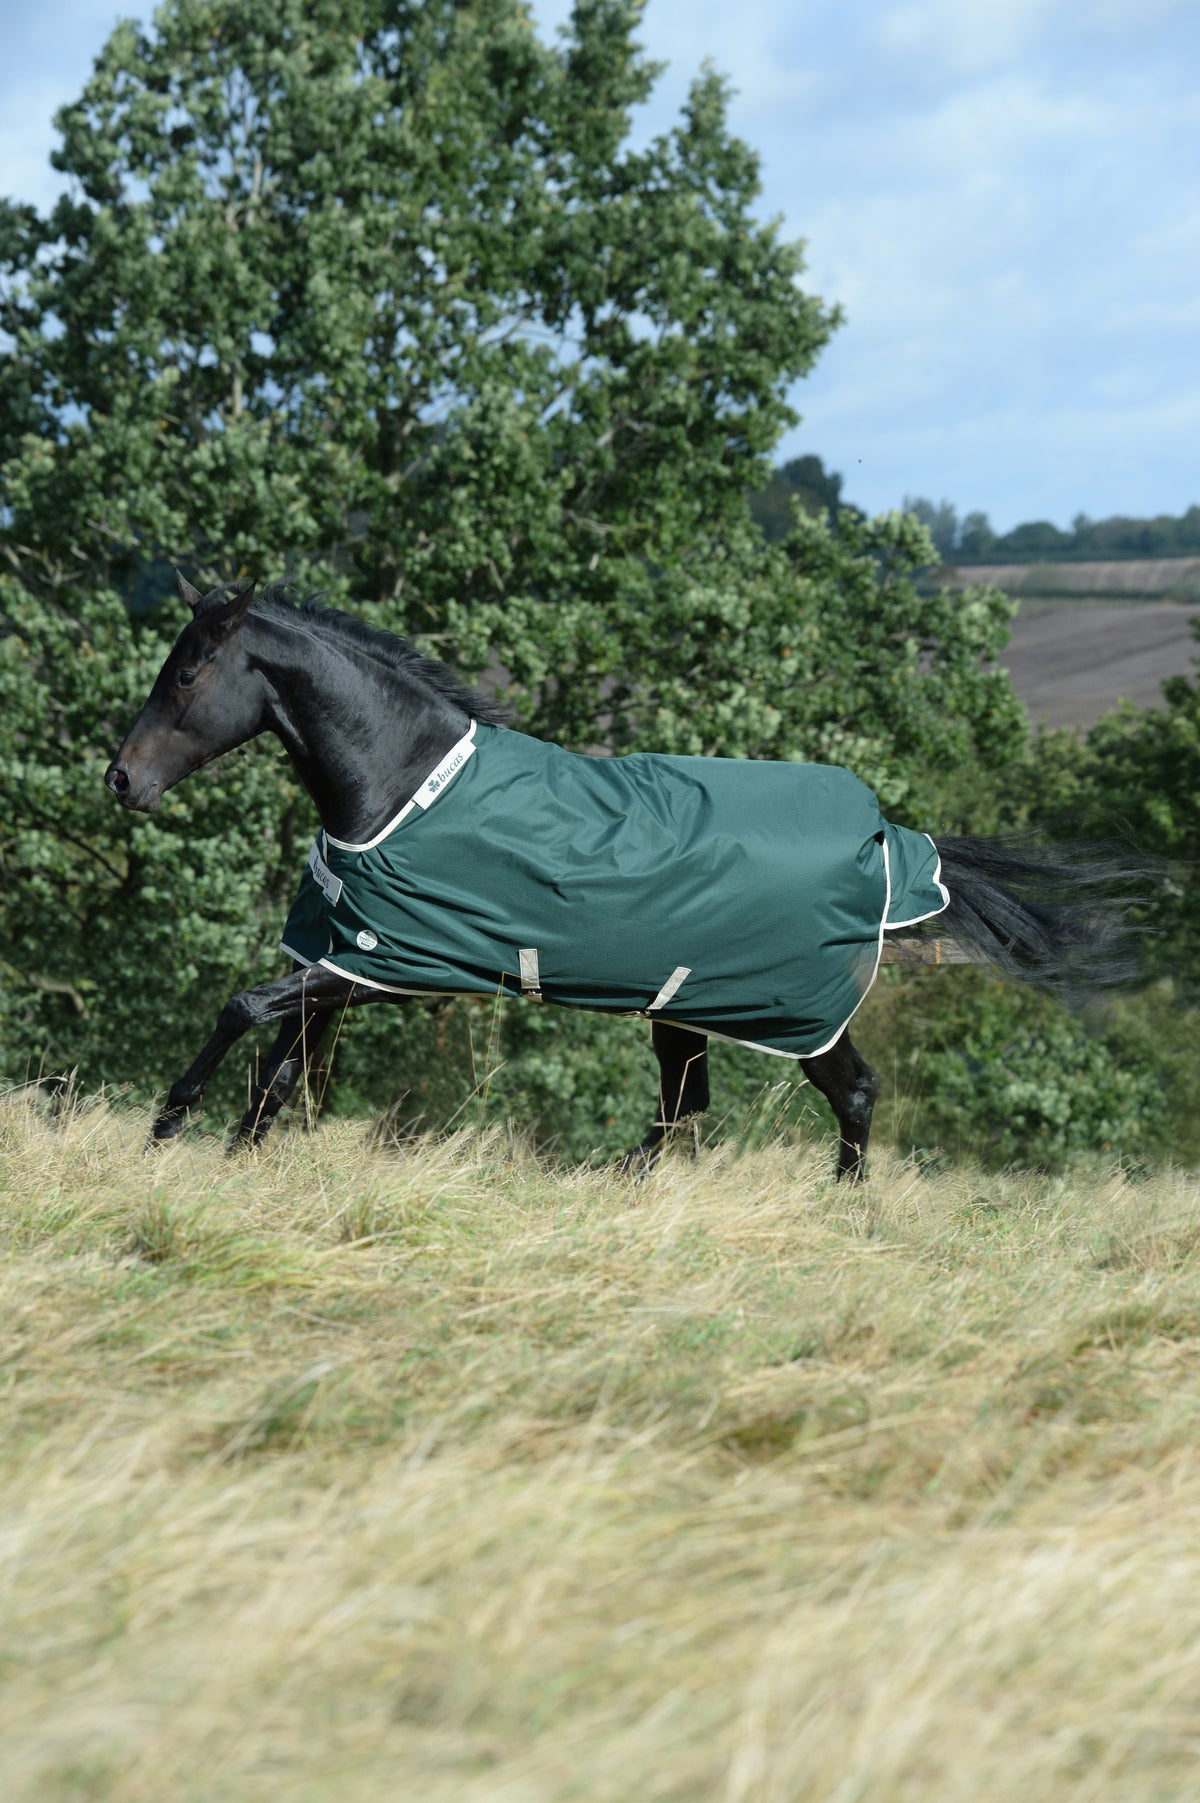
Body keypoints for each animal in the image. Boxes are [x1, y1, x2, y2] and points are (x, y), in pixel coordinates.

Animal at [104, 573, 1146, 1179]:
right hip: (685, 1006)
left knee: (849, 1094)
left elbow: (242, 1010)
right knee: (687, 1109)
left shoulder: (385, 965)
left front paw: (164, 1130)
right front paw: (235, 1160)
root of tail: (889, 837)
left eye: (188, 674)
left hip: (792, 1011)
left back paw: (839, 1211)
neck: (402, 785)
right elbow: (279, 1075)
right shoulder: (347, 962)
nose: (121, 779)